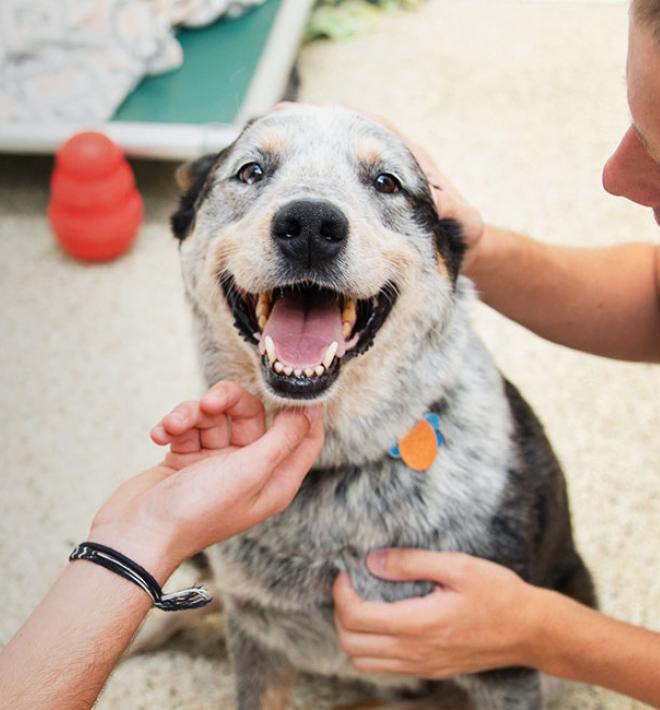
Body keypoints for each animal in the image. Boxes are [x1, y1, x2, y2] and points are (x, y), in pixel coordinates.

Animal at [162, 107, 596, 710]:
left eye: (387, 181)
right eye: (251, 171)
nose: (311, 224)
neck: (338, 468)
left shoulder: (502, 662)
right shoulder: (255, 636)